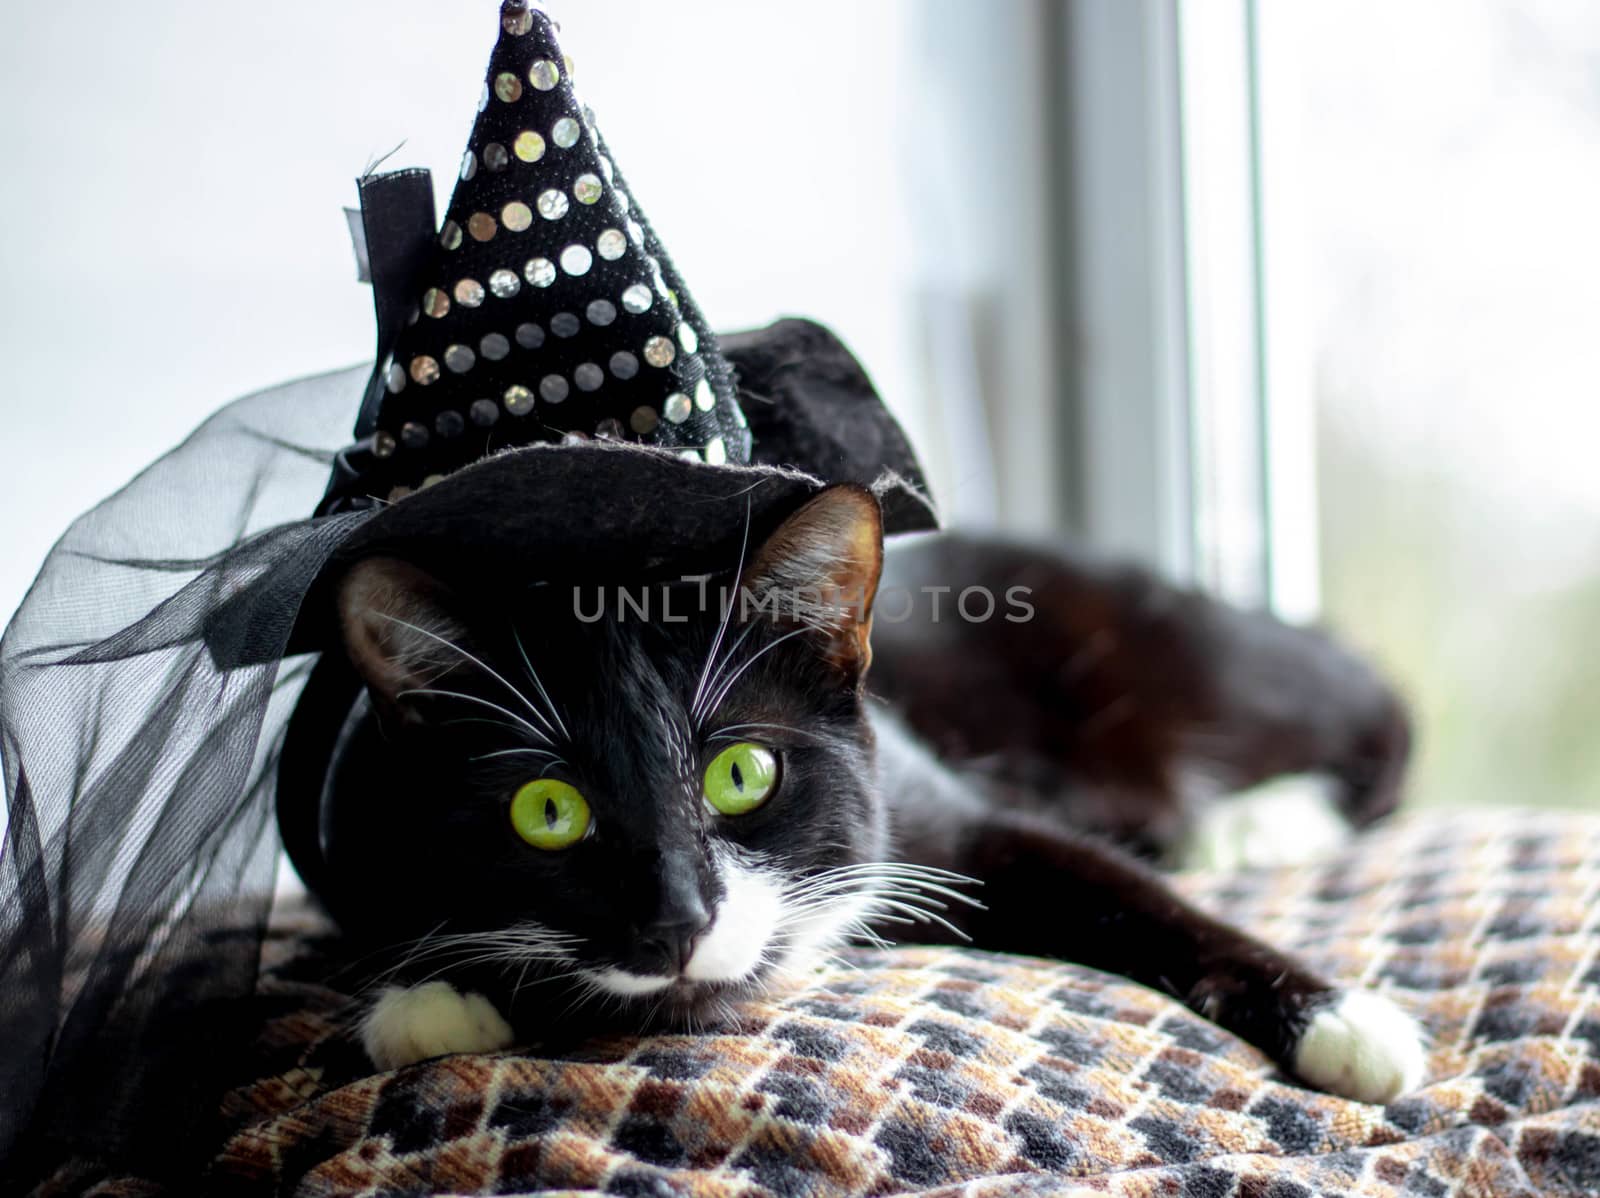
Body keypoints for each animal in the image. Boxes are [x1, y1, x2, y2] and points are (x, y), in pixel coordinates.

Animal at [300, 479, 1427, 1100]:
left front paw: (1342, 1020)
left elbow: (1131, 896)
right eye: (548, 810)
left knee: (1376, 713)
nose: (677, 918)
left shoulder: (952, 815)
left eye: (742, 773)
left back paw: (1259, 822)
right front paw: (428, 998)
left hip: (1175, 665)